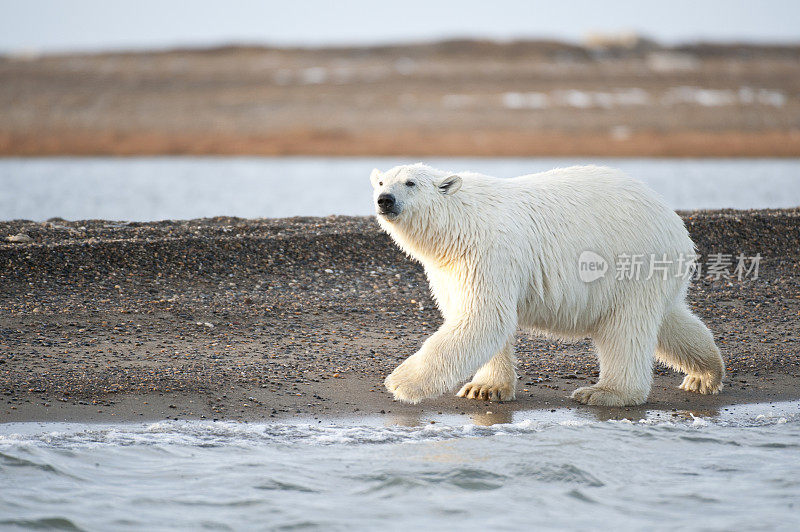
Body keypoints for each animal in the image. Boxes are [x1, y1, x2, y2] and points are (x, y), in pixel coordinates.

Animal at [372, 164, 728, 406]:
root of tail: (675, 223)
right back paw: (705, 374)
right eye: (381, 181)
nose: (384, 200)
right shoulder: (451, 269)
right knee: (669, 321)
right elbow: (473, 317)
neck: (459, 224)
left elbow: (483, 319)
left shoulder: (489, 254)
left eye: (410, 182)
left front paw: (399, 383)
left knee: (625, 329)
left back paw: (605, 392)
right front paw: (485, 388)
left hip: (633, 261)